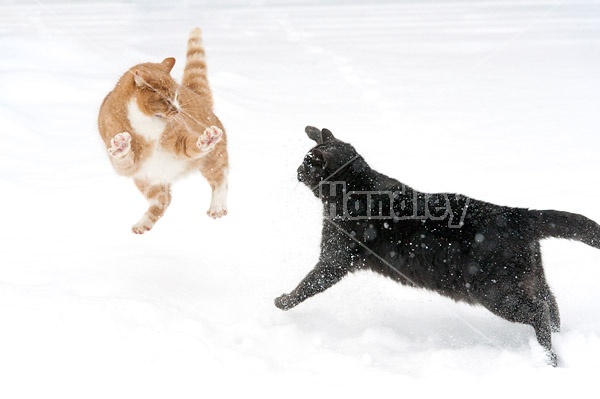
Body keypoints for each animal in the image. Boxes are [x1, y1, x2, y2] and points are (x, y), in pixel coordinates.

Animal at [97, 28, 229, 234]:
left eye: (176, 96)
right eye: (166, 99)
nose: (178, 110)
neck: (146, 121)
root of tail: (199, 97)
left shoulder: (179, 139)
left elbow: (192, 145)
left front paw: (205, 140)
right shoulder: (129, 166)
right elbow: (124, 158)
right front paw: (121, 145)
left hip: (213, 160)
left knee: (221, 180)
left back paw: (217, 207)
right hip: (149, 181)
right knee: (163, 201)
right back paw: (143, 224)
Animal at [276, 126, 600, 368]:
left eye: (307, 162)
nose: (296, 170)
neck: (356, 188)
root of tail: (516, 214)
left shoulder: (334, 259)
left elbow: (307, 285)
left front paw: (282, 301)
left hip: (496, 291)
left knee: (539, 312)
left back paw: (548, 359)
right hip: (530, 279)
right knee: (551, 304)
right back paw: (559, 345)